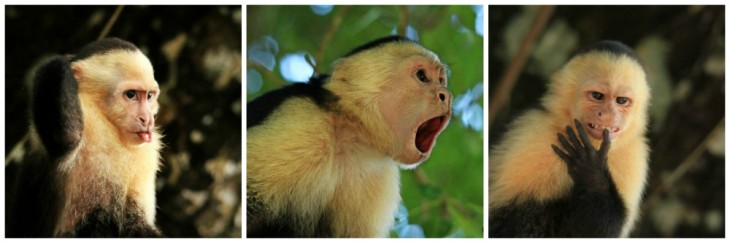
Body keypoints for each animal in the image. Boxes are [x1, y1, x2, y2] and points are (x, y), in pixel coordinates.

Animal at [6, 38, 162, 237]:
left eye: (149, 96)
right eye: (131, 95)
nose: (147, 119)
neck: (109, 126)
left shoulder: (146, 154)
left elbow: (136, 224)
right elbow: (66, 138)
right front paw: (63, 63)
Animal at [247, 36, 452, 237]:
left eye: (441, 80)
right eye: (422, 76)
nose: (447, 96)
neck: (351, 131)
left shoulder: (378, 176)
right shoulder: (301, 123)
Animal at [490, 40, 648, 237]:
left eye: (621, 100)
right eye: (597, 96)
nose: (609, 115)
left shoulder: (634, 156)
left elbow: (602, 230)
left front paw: (592, 171)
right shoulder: (532, 132)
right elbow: (505, 219)